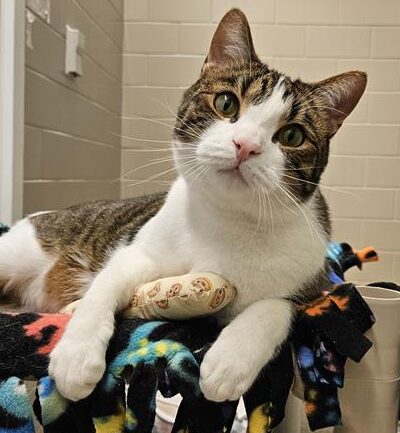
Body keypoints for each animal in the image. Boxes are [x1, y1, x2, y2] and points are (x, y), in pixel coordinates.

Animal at [0, 10, 368, 402]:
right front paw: (76, 354)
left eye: (293, 135)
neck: (228, 220)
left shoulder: (316, 285)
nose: (246, 145)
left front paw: (230, 360)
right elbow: (105, 284)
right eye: (226, 103)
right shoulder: (138, 251)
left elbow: (278, 307)